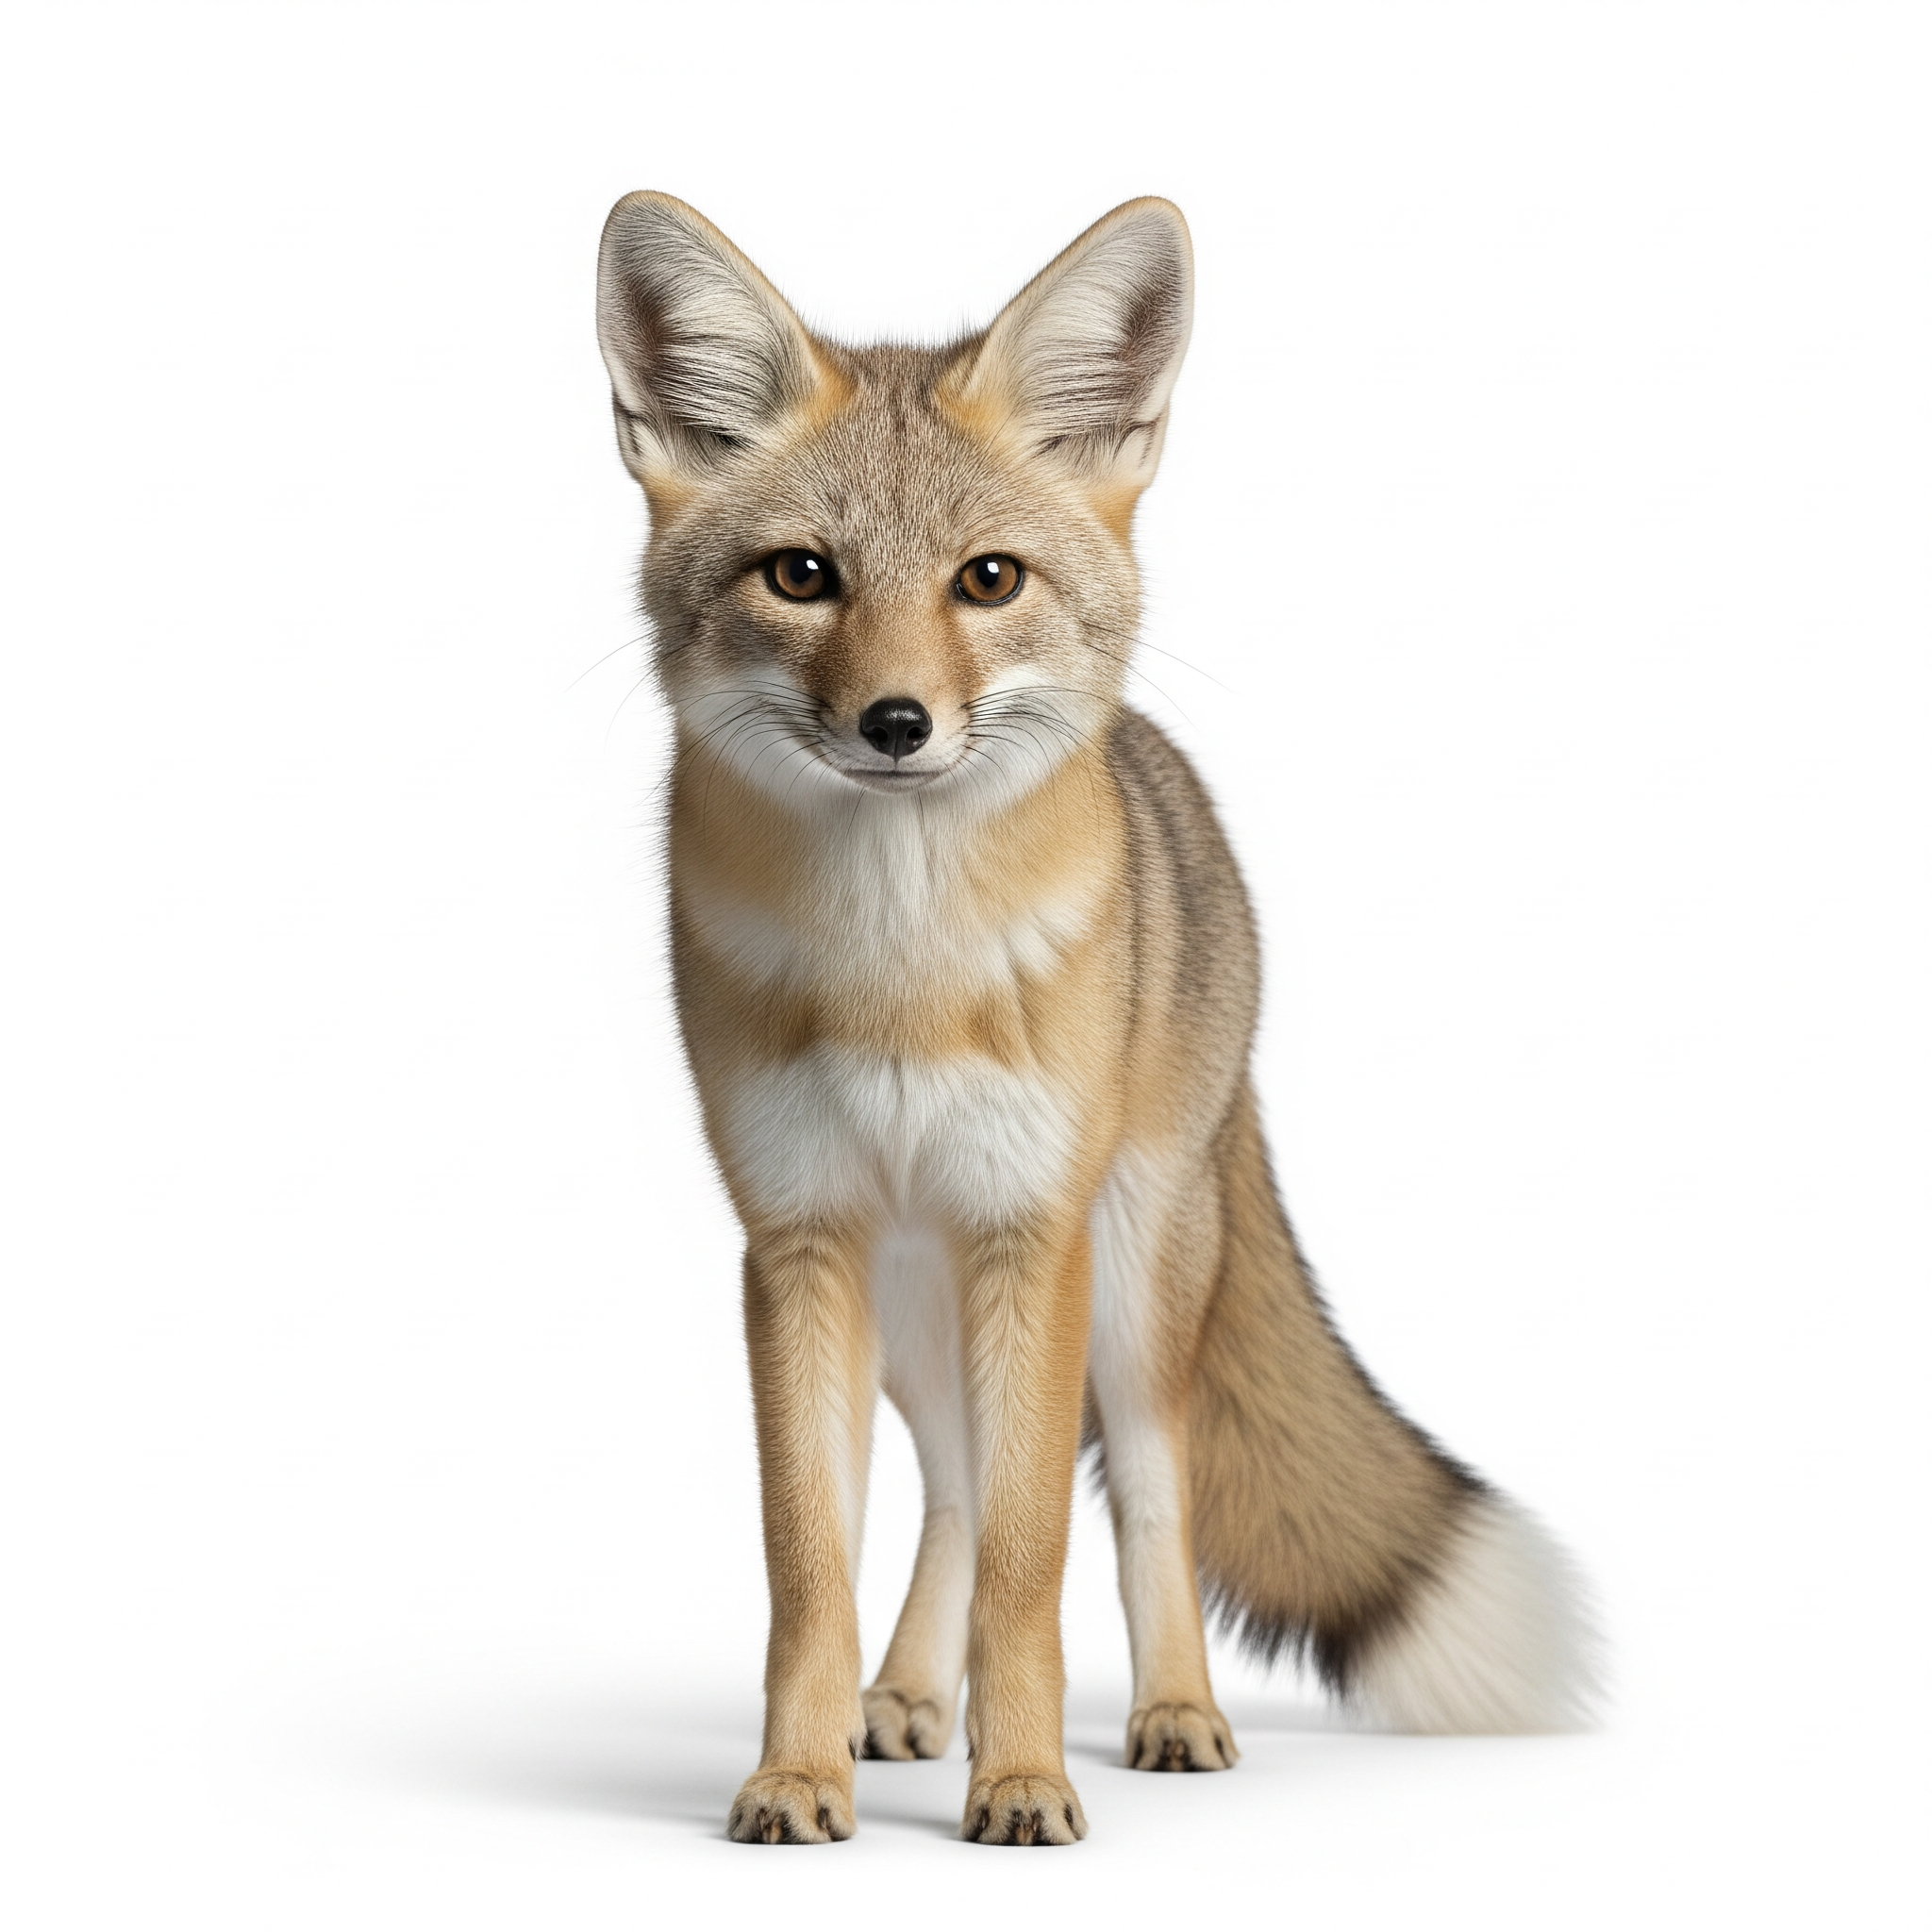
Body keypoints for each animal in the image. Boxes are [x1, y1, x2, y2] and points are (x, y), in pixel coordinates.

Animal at [594, 192, 1598, 1847]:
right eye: (801, 576)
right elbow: (813, 1568)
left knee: (1147, 1496)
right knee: (946, 1488)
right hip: (914, 1313)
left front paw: (1022, 1784)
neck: (903, 977)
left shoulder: (1031, 1233)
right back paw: (904, 1698)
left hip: (1125, 1279)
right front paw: (797, 1777)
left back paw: (1172, 1715)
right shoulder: (796, 1243)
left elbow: (1036, 1562)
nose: (896, 726)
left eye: (987, 581)